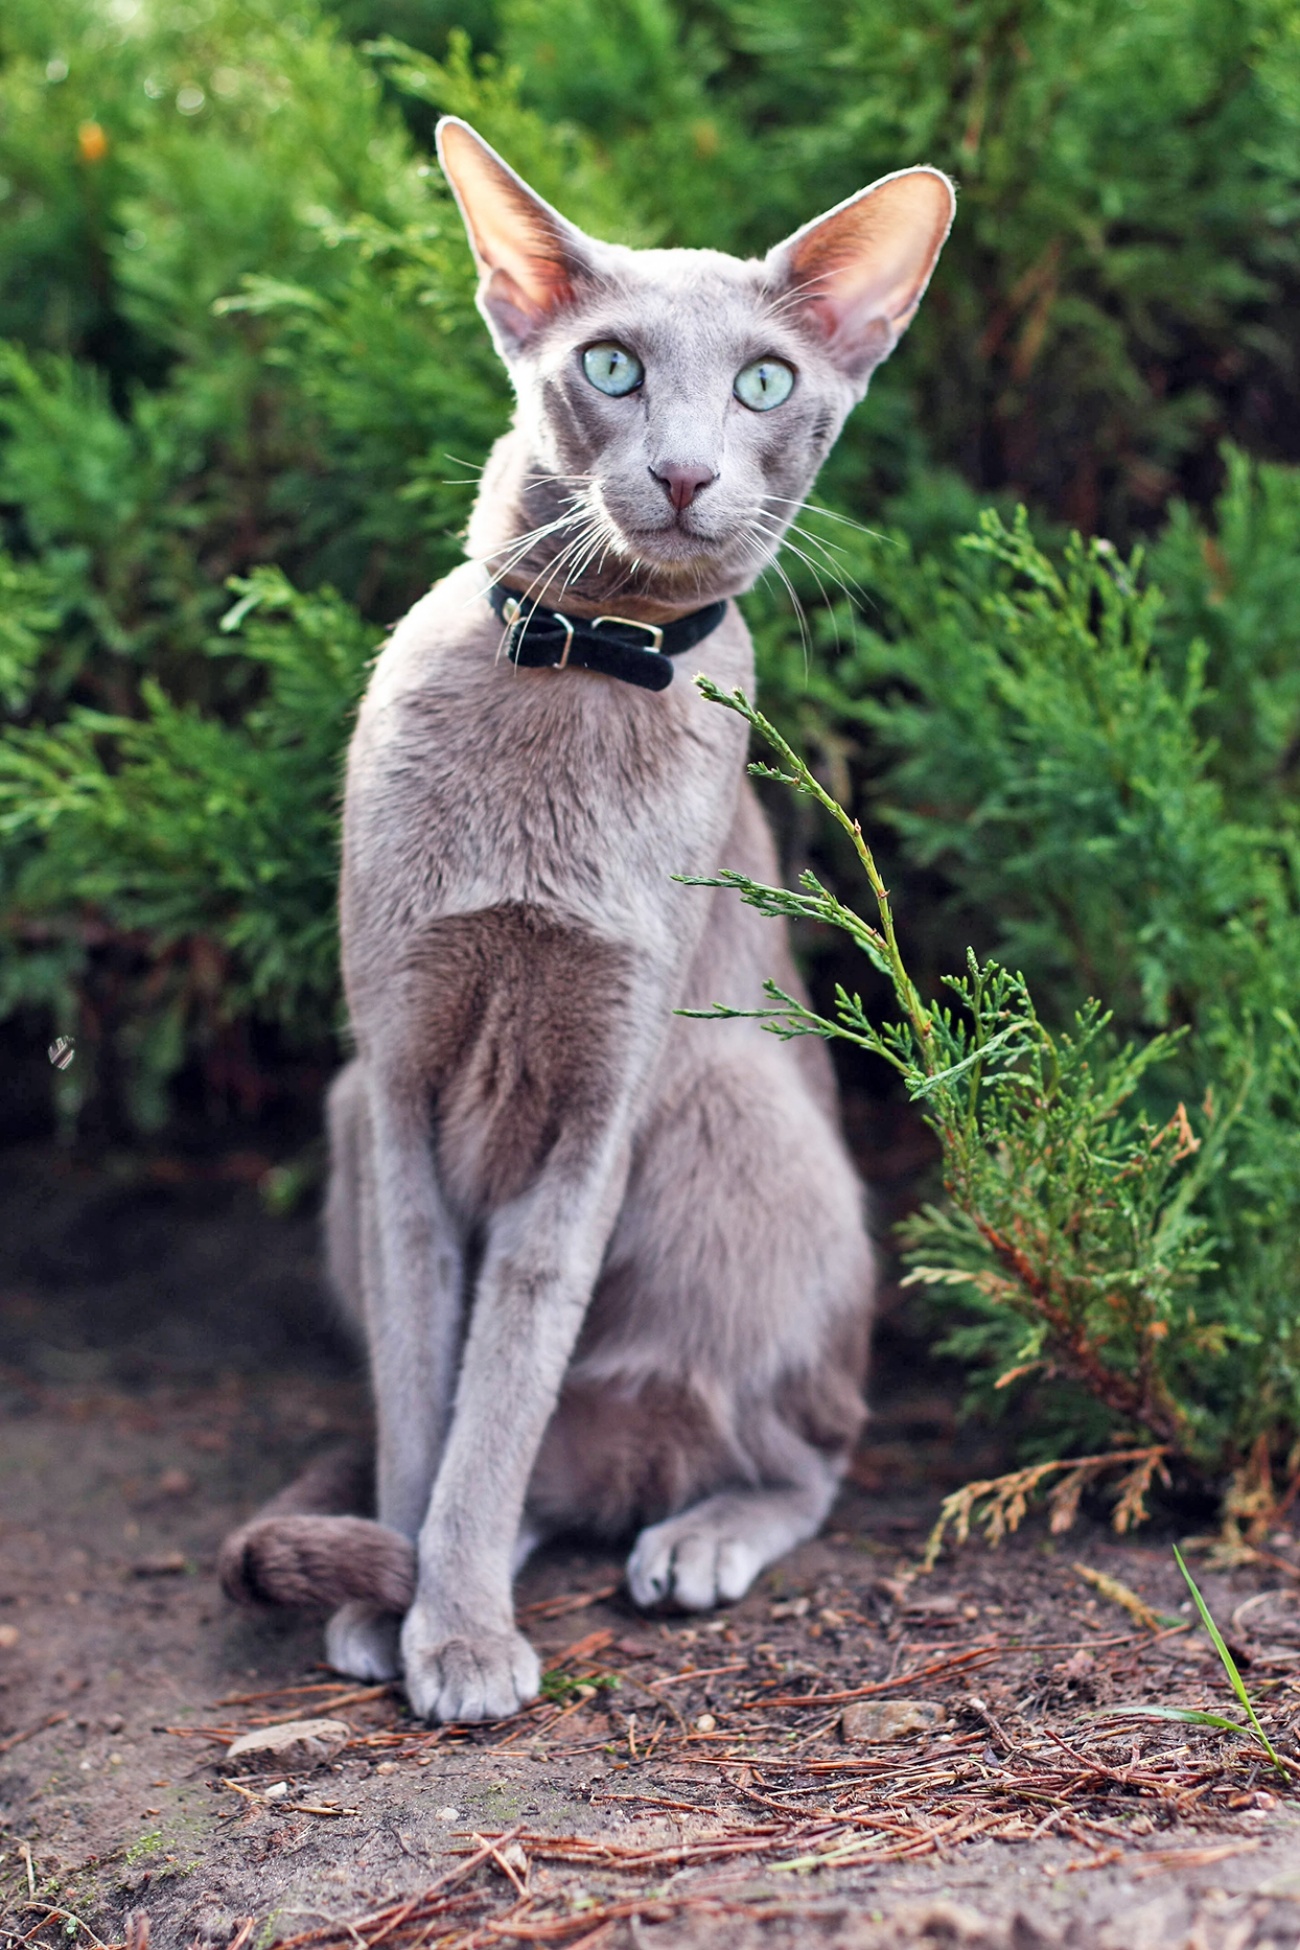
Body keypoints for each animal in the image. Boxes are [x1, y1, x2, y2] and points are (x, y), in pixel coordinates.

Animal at [221, 117, 955, 1723]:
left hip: (742, 1112)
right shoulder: (402, 1086)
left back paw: (694, 1542)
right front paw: (398, 1606)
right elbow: (431, 1391)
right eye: (611, 365)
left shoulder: (594, 1110)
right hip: (352, 1110)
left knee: (803, 1442)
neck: (578, 661)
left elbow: (502, 1379)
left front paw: (455, 1635)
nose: (681, 471)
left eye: (763, 383)